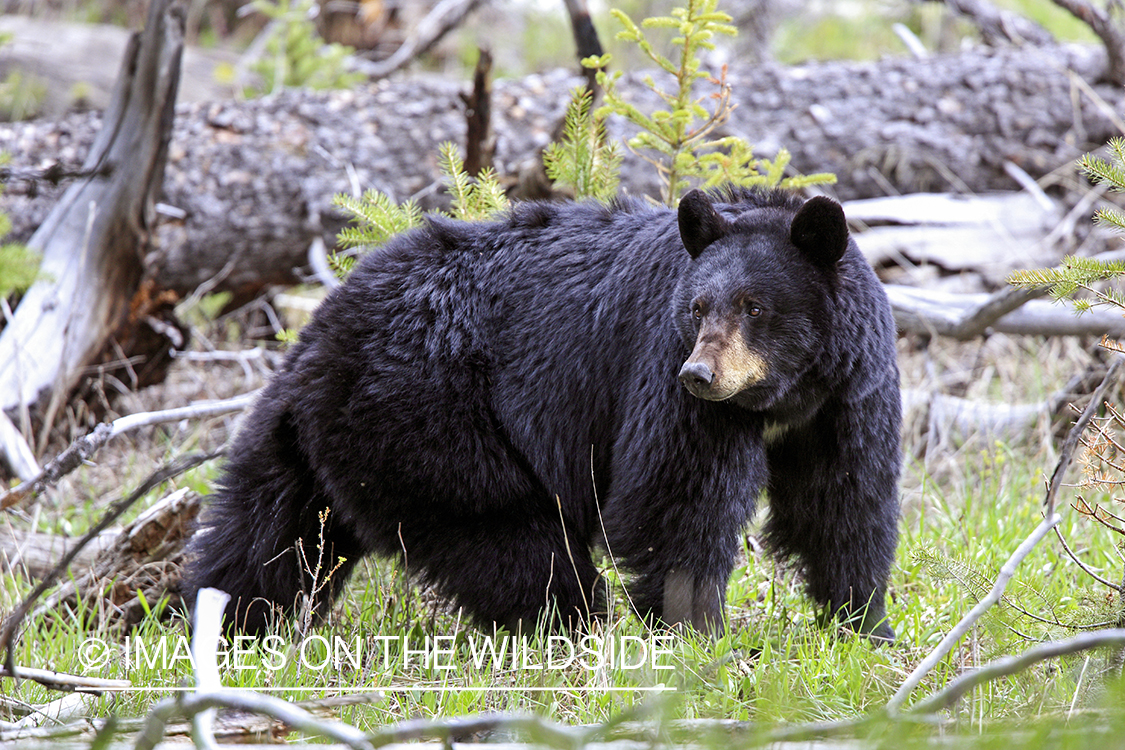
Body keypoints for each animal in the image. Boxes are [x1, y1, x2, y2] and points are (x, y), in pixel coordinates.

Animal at [184, 186, 904, 638]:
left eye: (755, 306)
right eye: (698, 306)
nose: (700, 375)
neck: (783, 395)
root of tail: (319, 333)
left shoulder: (845, 398)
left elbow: (840, 501)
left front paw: (864, 624)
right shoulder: (662, 374)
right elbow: (674, 502)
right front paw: (700, 633)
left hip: (307, 439)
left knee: (266, 534)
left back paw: (220, 622)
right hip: (431, 419)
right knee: (515, 540)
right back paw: (576, 628)